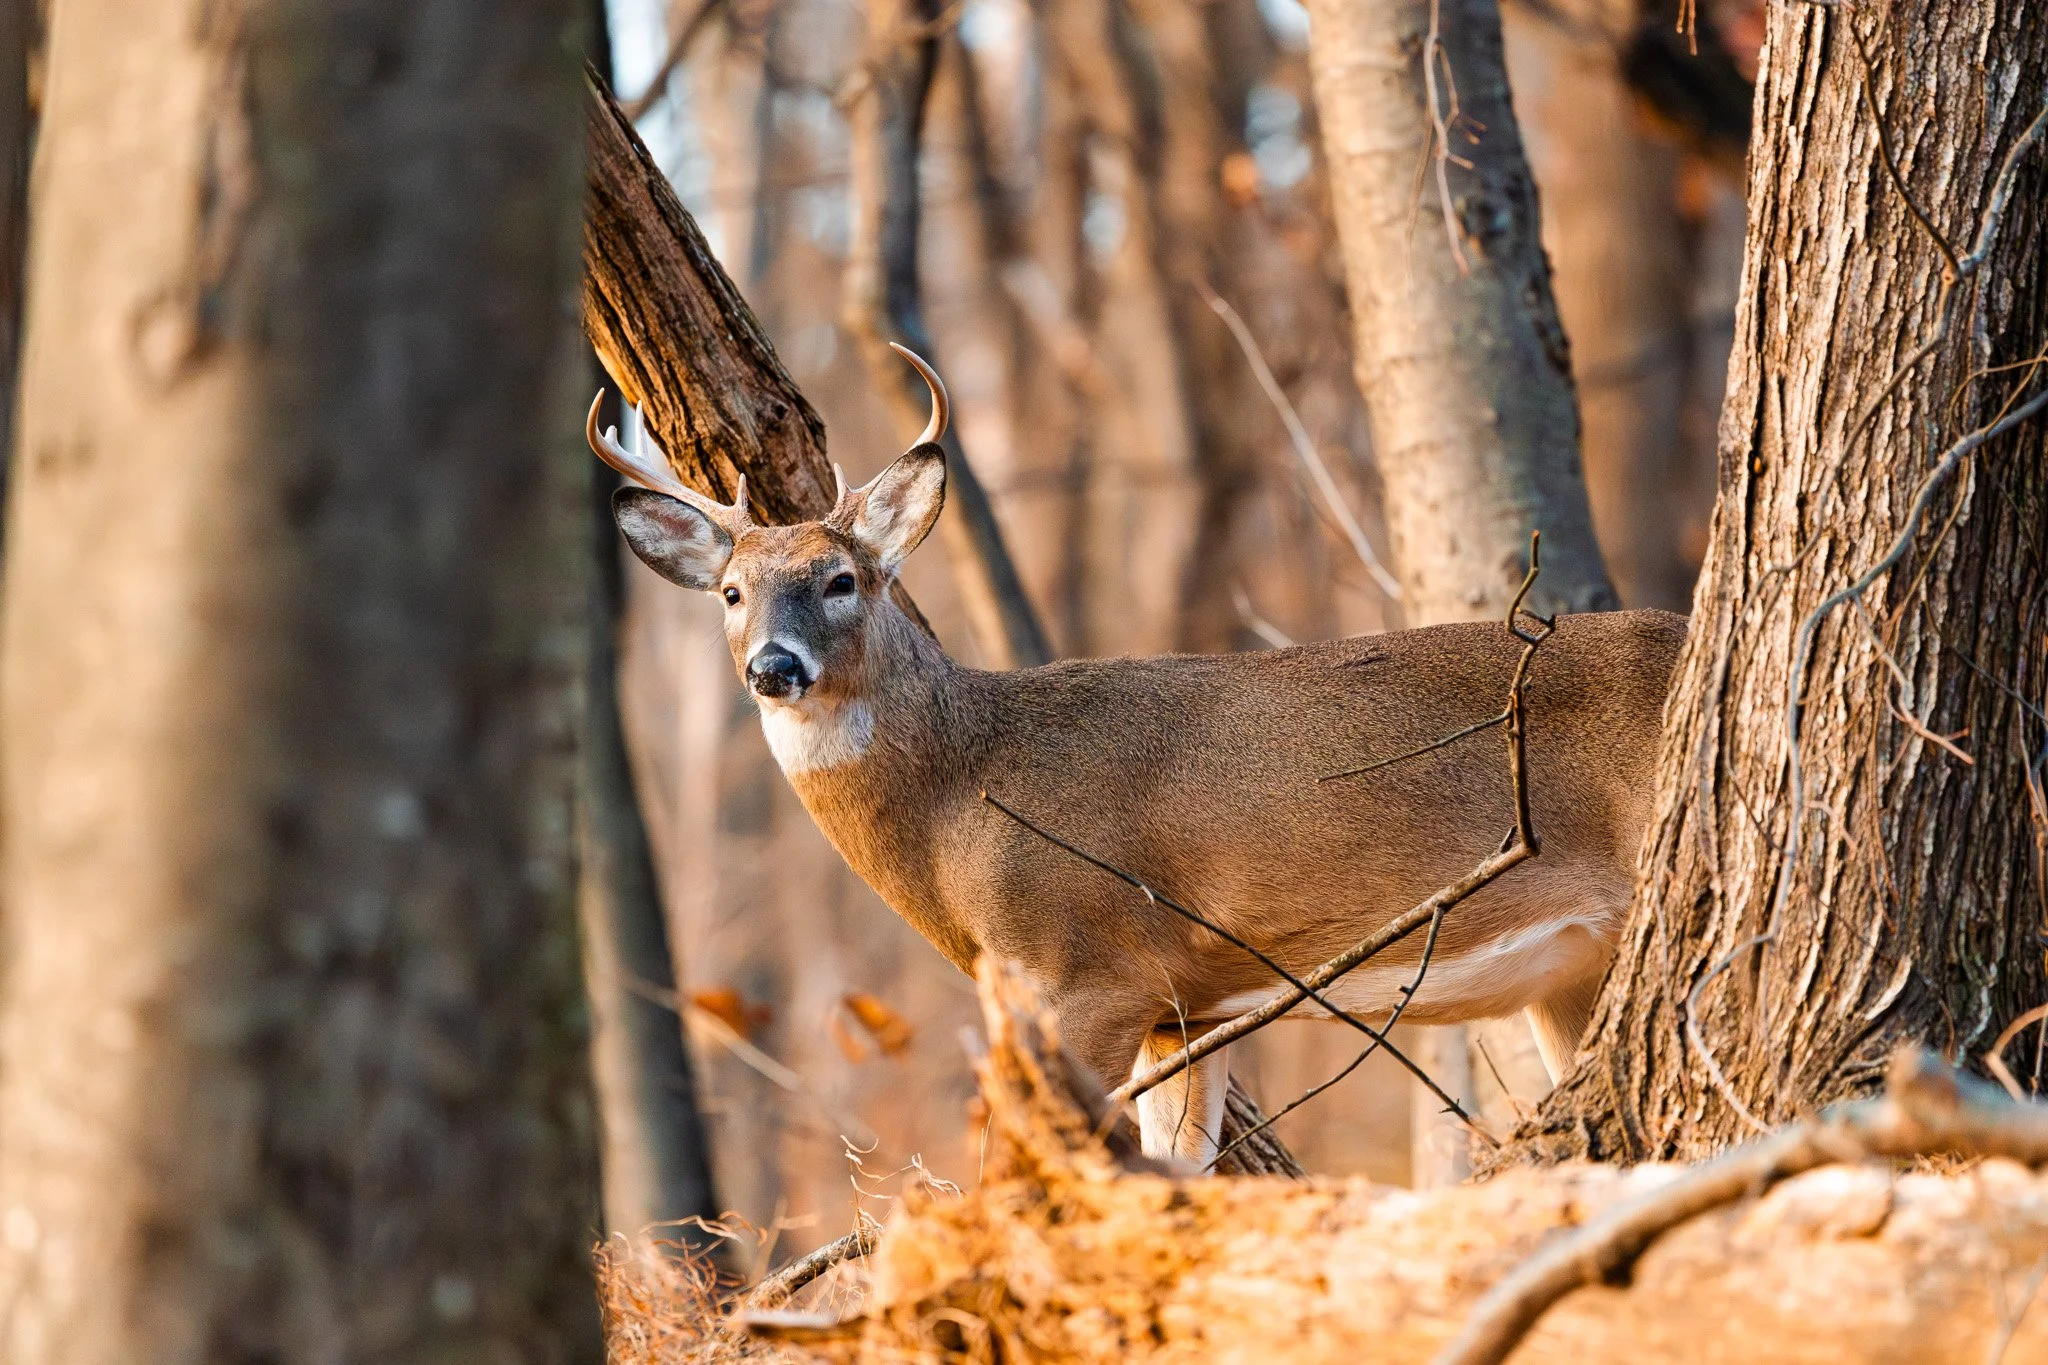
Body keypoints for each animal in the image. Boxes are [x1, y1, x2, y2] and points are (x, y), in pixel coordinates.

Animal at [591, 346, 1685, 1166]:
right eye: (731, 591)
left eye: (839, 580)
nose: (773, 667)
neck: (959, 801)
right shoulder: (1181, 1008)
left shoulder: (1092, 972)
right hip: (1572, 971)